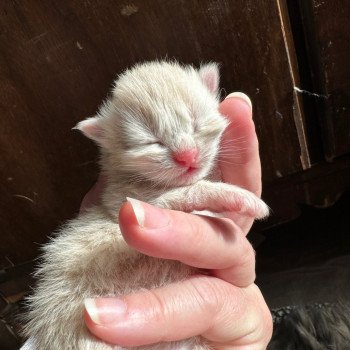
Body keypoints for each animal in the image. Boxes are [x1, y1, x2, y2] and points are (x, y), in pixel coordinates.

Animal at [23, 61, 270, 348]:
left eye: (196, 124)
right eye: (153, 142)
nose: (187, 156)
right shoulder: (133, 203)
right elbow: (191, 190)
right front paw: (241, 198)